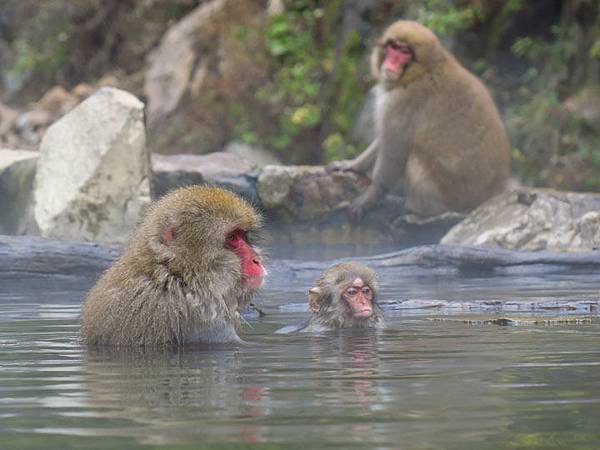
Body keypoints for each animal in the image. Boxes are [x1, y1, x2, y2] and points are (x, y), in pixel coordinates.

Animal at [328, 21, 510, 218]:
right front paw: (353, 165)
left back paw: (420, 210)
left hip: (451, 192)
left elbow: (395, 148)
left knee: (414, 155)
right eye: (393, 47)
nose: (391, 63)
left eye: (405, 52)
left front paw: (369, 198)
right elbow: (385, 140)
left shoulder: (402, 102)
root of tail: (492, 192)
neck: (422, 71)